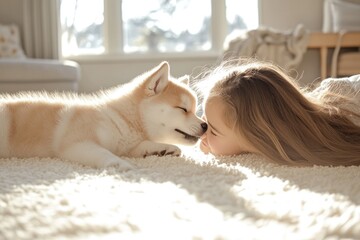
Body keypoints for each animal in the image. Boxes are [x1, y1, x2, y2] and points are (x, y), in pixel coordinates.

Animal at [0, 62, 207, 171]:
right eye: (183, 109)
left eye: (195, 109)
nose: (205, 126)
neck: (123, 119)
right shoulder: (77, 144)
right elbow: (105, 153)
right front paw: (121, 165)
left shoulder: (127, 145)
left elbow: (142, 145)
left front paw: (163, 149)